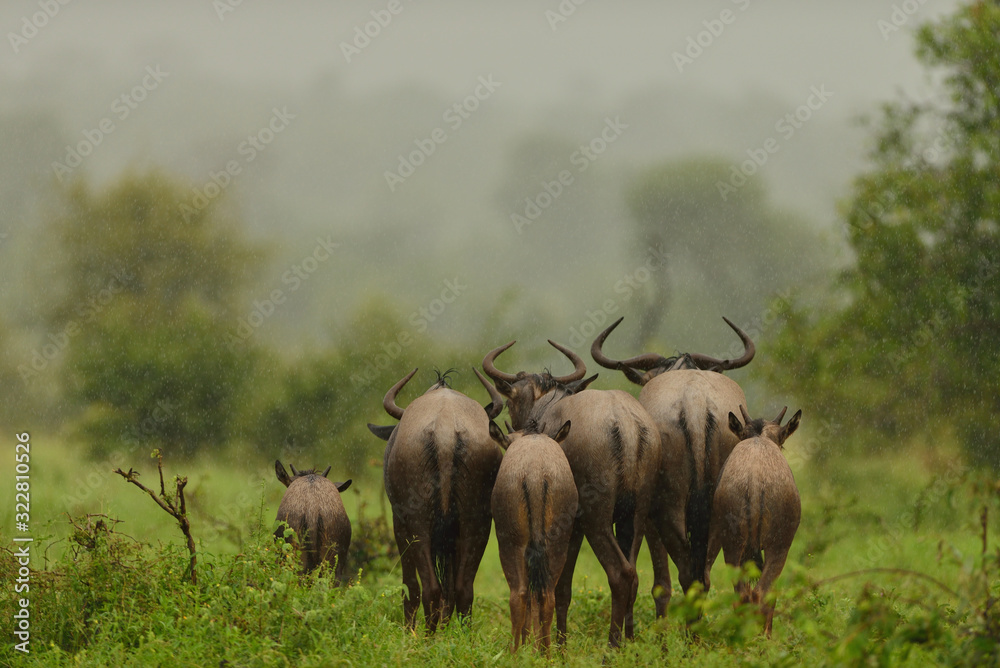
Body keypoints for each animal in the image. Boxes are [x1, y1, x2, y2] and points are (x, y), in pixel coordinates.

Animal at [367, 368, 505, 632]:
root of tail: (444, 430)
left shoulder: (399, 523)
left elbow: (410, 585)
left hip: (418, 523)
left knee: (429, 587)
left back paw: (425, 637)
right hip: (478, 522)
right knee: (462, 589)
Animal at [492, 421, 577, 653]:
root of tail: (535, 474)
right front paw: (533, 646)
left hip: (511, 544)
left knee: (519, 594)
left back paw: (514, 653)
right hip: (557, 546)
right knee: (547, 595)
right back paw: (545, 654)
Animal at [591, 316, 754, 617]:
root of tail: (695, 403)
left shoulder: (648, 519)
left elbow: (661, 584)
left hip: (668, 509)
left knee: (687, 573)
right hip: (721, 512)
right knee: (703, 574)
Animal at [708, 405, 801, 637]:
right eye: (782, 442)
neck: (759, 438)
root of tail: (755, 479)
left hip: (733, 545)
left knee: (741, 593)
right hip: (778, 546)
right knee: (762, 593)